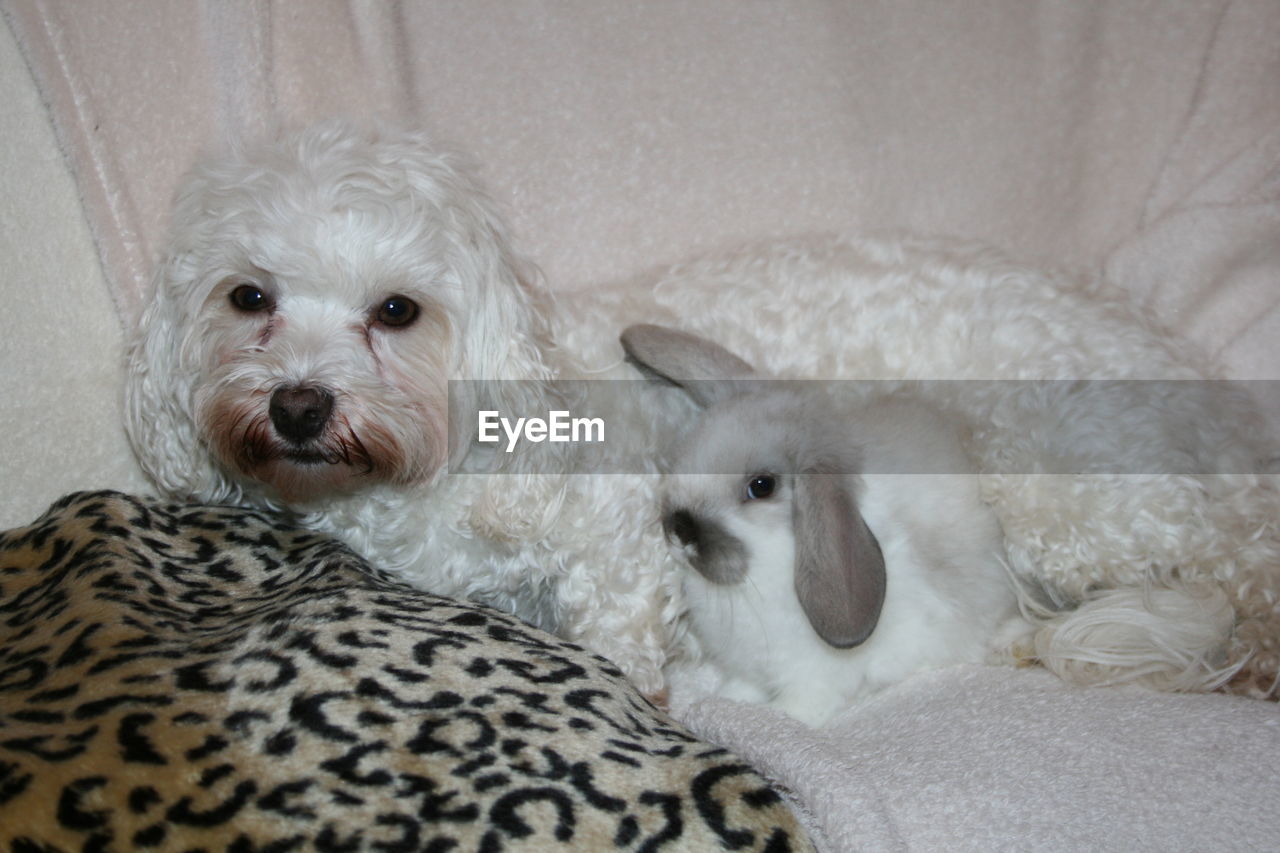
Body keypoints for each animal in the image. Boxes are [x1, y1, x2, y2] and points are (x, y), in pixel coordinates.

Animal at [619, 322, 1029, 722]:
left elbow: (794, 711)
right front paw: (727, 700)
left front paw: (755, 715)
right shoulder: (749, 669)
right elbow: (741, 689)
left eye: (761, 486)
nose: (679, 529)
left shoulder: (813, 680)